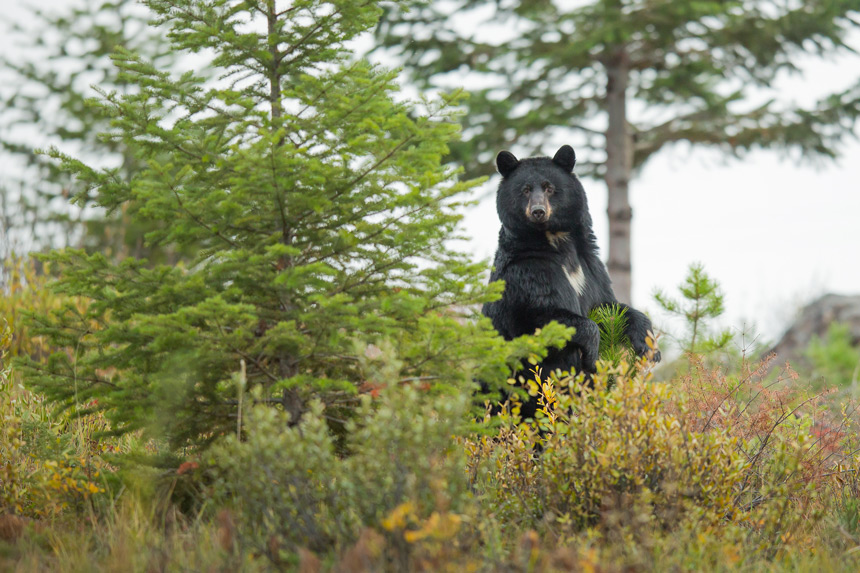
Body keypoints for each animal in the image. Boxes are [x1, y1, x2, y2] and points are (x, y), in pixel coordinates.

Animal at [484, 143, 660, 416]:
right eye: (525, 190)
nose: (538, 211)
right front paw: (591, 352)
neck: (556, 240)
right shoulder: (528, 271)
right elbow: (542, 314)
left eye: (549, 187)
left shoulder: (590, 267)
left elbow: (608, 305)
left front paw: (648, 346)